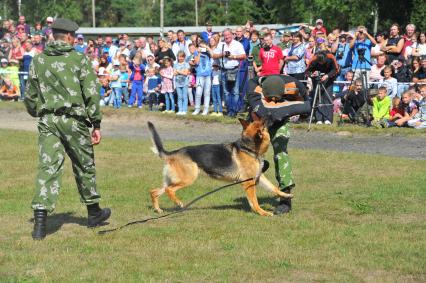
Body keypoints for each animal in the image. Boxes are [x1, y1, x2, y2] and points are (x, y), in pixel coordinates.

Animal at [147, 116, 292, 216]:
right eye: (264, 124)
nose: (271, 116)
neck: (248, 148)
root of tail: (173, 153)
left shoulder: (258, 177)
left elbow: (273, 187)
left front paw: (285, 195)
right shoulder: (249, 182)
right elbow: (254, 200)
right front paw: (262, 212)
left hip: (172, 180)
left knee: (154, 191)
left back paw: (158, 210)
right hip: (188, 178)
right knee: (169, 190)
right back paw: (178, 202)